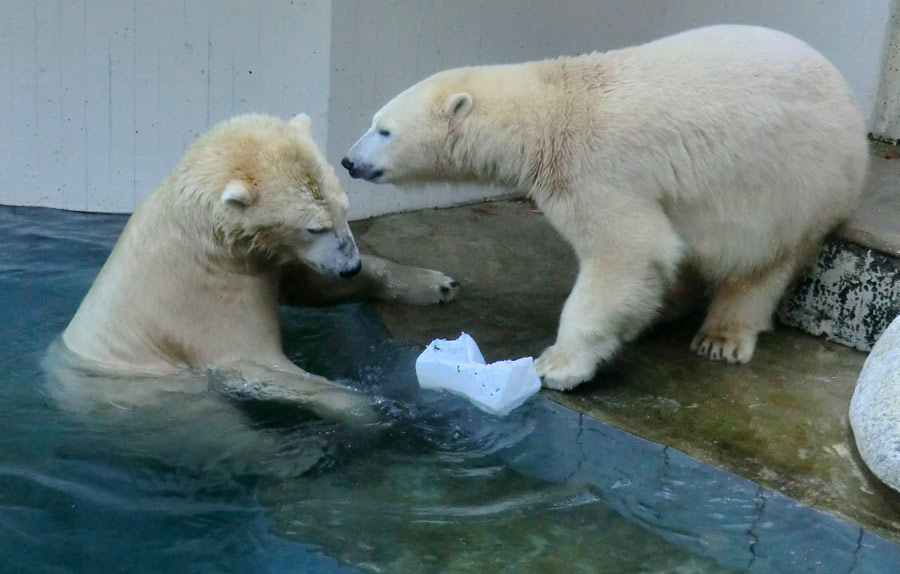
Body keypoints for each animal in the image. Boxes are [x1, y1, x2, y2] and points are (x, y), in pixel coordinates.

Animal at [342, 23, 868, 392]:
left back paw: (722, 337)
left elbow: (627, 251)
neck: (551, 108)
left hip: (792, 181)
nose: (348, 161)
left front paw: (555, 366)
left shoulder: (595, 167)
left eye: (384, 130)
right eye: (372, 121)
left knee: (761, 261)